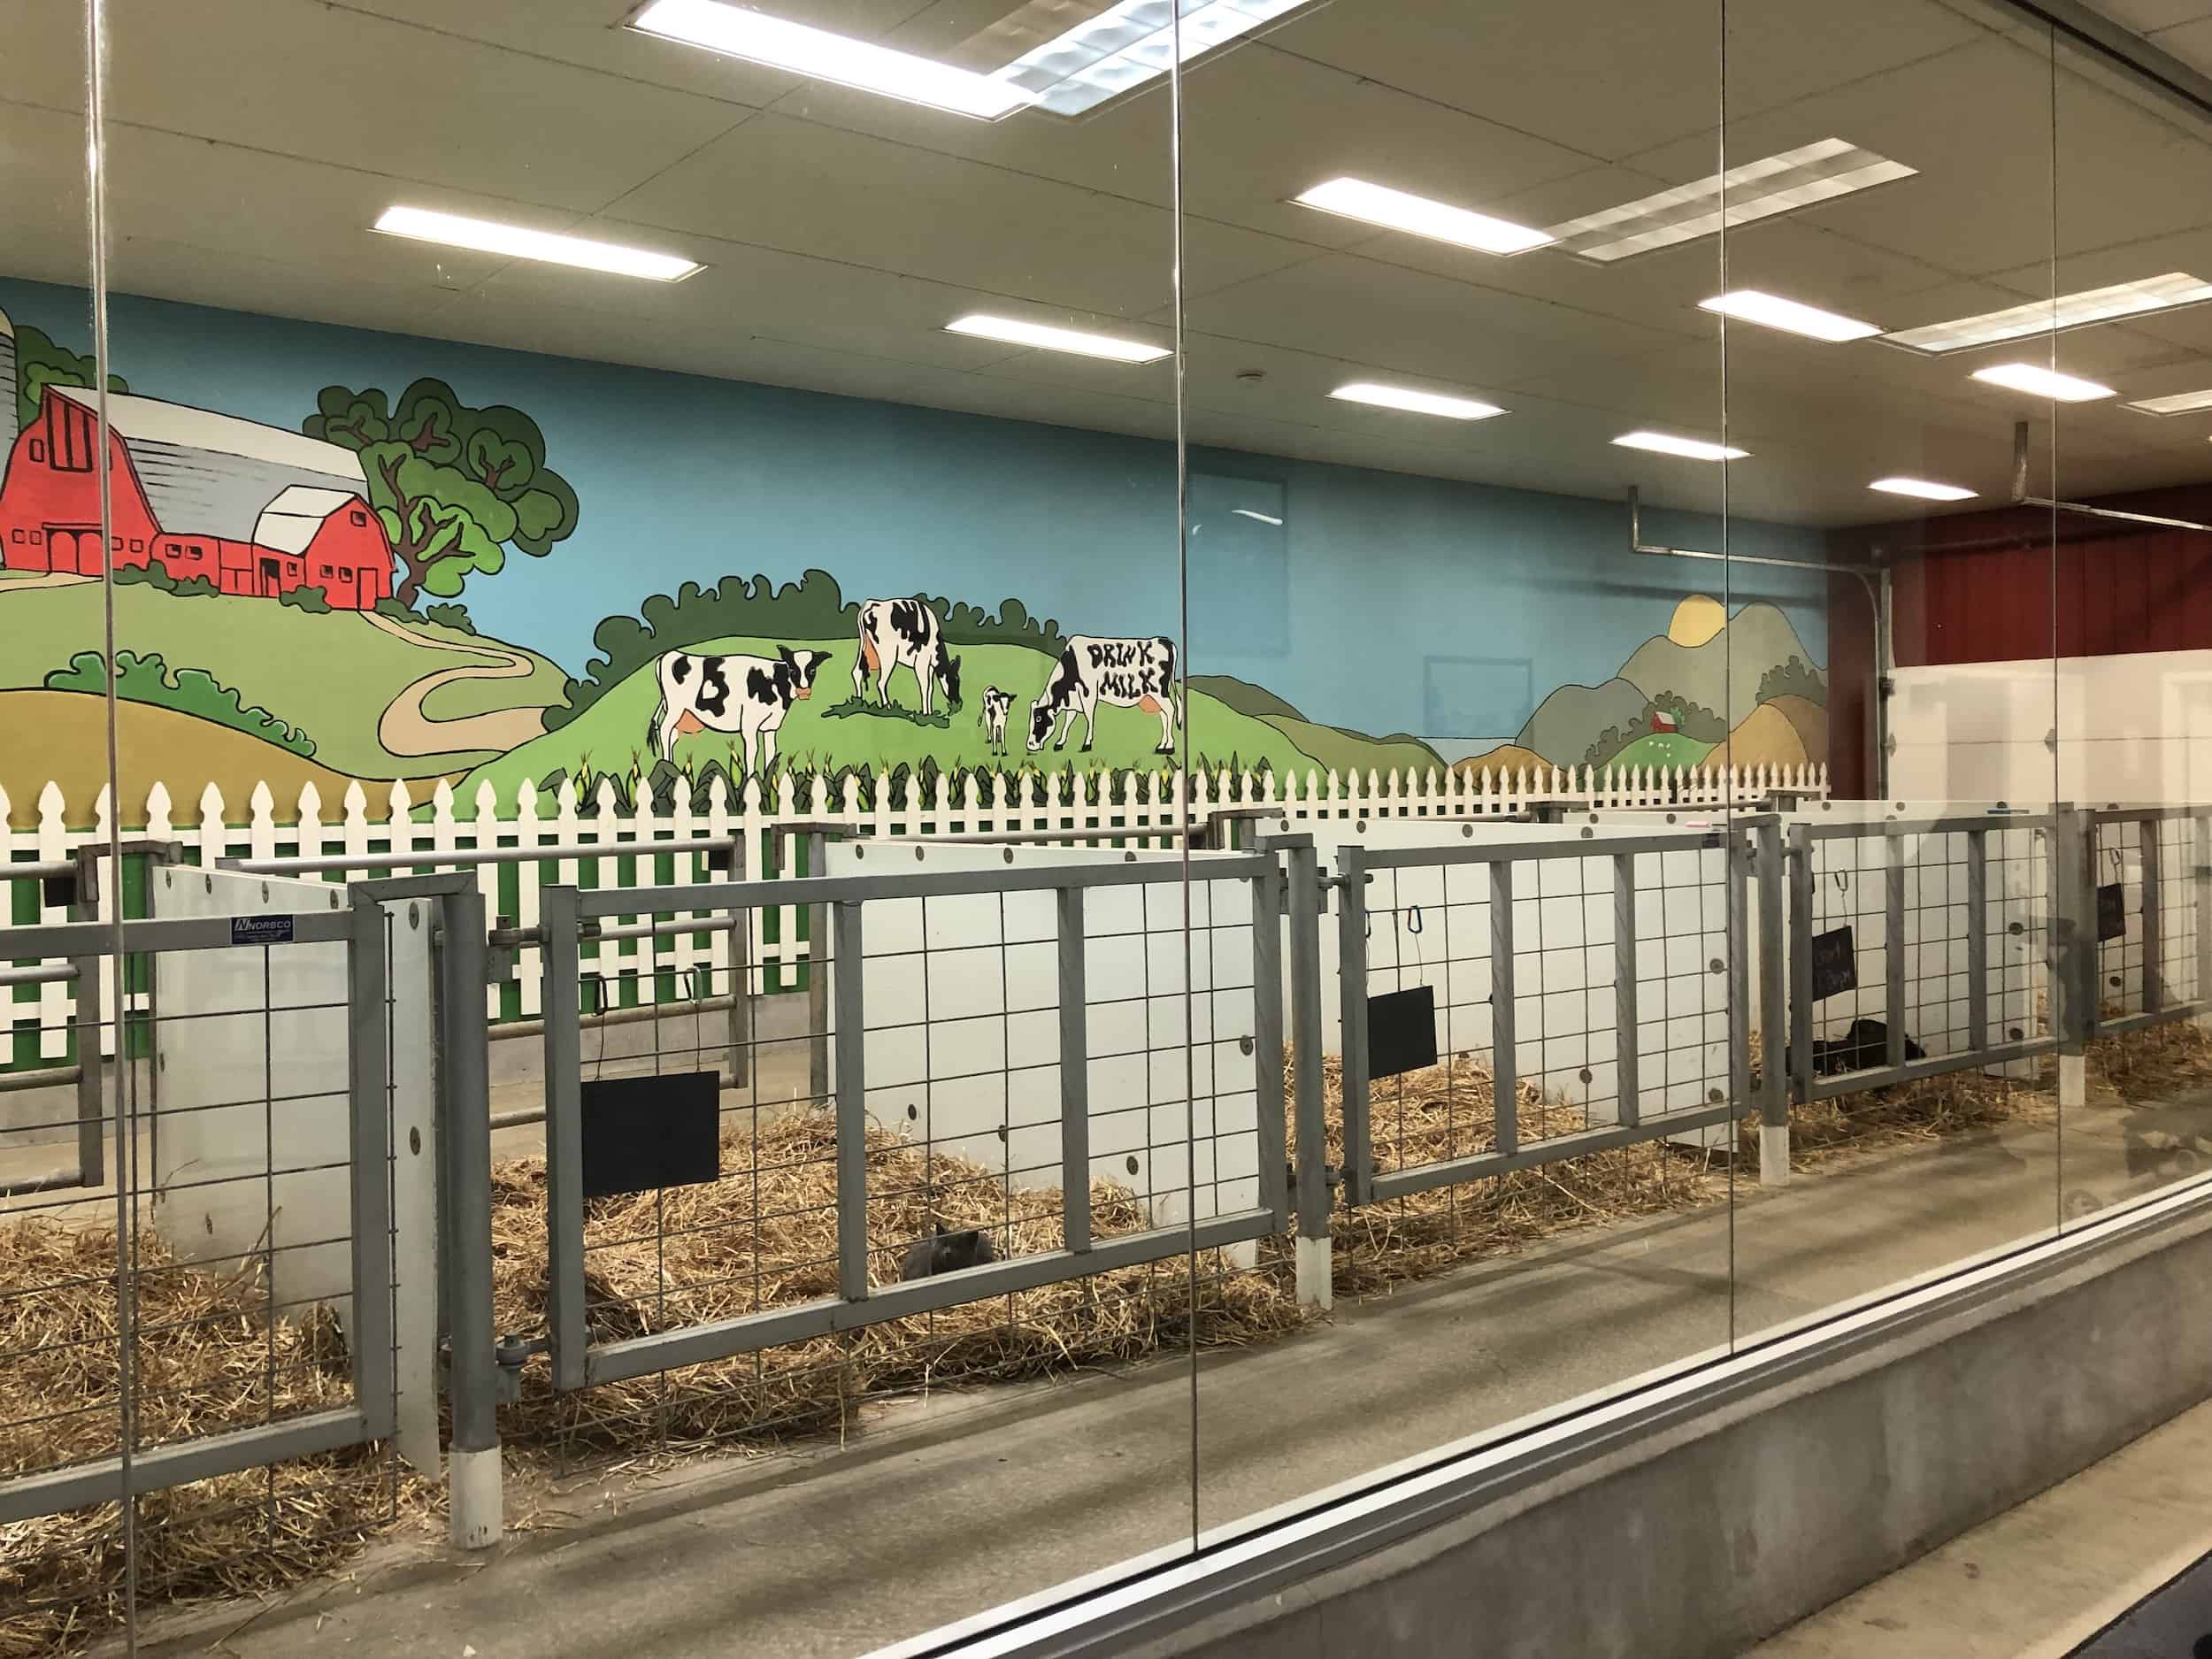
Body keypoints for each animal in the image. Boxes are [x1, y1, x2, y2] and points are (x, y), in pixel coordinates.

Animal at [655, 650, 836, 779]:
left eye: (812, 670)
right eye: (793, 670)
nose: (804, 690)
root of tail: (670, 655)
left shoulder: (771, 726)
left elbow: (771, 752)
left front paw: (769, 781)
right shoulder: (750, 723)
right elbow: (752, 750)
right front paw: (751, 779)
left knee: (672, 738)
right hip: (675, 709)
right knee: (664, 730)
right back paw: (667, 765)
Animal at [854, 606, 960, 721]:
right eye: (955, 681)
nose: (959, 702)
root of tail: (870, 605)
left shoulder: (930, 666)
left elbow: (931, 688)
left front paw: (930, 712)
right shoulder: (921, 662)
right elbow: (925, 686)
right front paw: (925, 714)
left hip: (864, 645)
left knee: (857, 672)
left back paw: (859, 702)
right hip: (888, 655)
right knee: (881, 682)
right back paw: (887, 707)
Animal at [1026, 641, 1186, 757]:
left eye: (1039, 718)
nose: (1030, 745)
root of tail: (1166, 641)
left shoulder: (1089, 692)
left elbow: (1089, 717)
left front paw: (1087, 744)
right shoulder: (1074, 700)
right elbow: (1068, 721)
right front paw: (1060, 743)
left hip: (1159, 692)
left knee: (1170, 710)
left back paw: (1169, 747)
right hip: (1155, 696)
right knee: (1164, 715)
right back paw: (1161, 746)